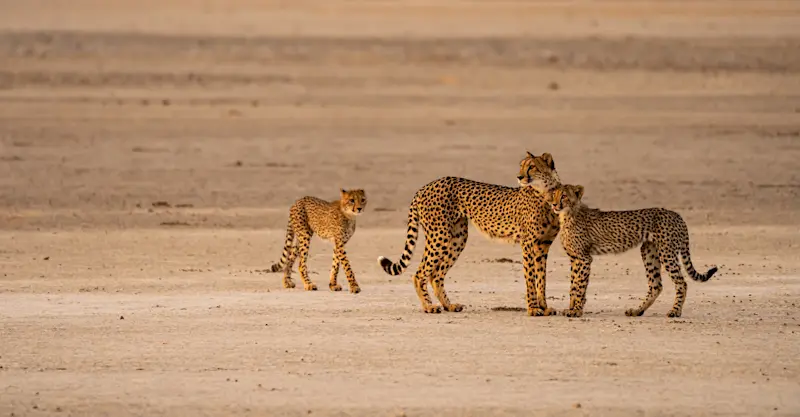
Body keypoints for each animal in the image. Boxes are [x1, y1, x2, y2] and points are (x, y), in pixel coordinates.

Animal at [377, 152, 564, 315]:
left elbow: (541, 278)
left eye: (531, 166)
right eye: (522, 166)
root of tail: (425, 186)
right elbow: (531, 277)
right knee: (420, 273)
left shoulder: (543, 245)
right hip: (439, 236)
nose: (519, 176)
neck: (545, 193)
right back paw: (429, 307)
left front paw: (544, 307)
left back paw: (449, 305)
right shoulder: (528, 243)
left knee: (436, 275)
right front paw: (533, 309)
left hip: (457, 238)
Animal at [547, 183, 718, 318]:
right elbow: (573, 285)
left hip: (667, 253)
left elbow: (579, 285)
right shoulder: (575, 258)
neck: (567, 214)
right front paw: (572, 308)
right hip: (649, 252)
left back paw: (675, 311)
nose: (554, 205)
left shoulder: (583, 258)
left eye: (564, 196)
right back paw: (637, 311)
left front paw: (576, 310)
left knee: (682, 283)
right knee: (656, 285)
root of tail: (676, 214)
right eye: (554, 195)